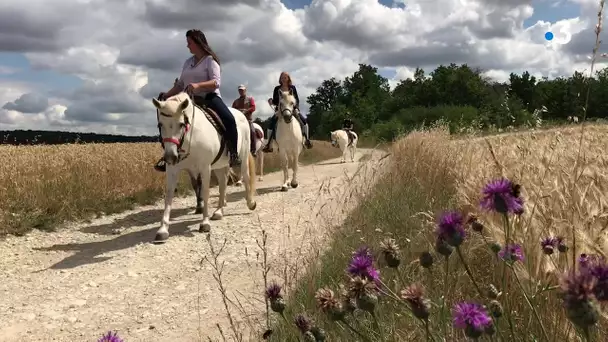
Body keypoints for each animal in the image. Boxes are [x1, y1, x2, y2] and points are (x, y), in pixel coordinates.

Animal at [153, 92, 258, 242]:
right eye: (160, 124)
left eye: (181, 124)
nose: (170, 157)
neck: (190, 138)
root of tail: (241, 114)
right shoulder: (173, 170)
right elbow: (169, 195)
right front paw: (163, 229)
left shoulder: (205, 168)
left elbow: (205, 192)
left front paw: (205, 223)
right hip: (220, 165)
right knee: (223, 183)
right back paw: (219, 211)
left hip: (242, 157)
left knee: (246, 177)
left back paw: (250, 203)